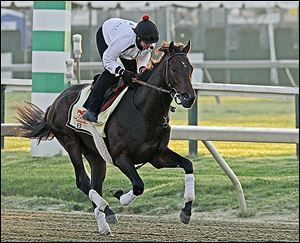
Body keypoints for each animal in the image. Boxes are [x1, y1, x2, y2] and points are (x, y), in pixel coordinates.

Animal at [17, 40, 197, 234]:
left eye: (190, 68)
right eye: (174, 69)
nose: (189, 97)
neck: (144, 112)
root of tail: (54, 104)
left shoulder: (157, 156)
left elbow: (188, 164)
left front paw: (186, 210)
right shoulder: (121, 158)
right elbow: (138, 186)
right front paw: (119, 195)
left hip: (95, 154)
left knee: (95, 184)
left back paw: (104, 223)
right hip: (69, 141)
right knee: (82, 181)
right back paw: (106, 208)